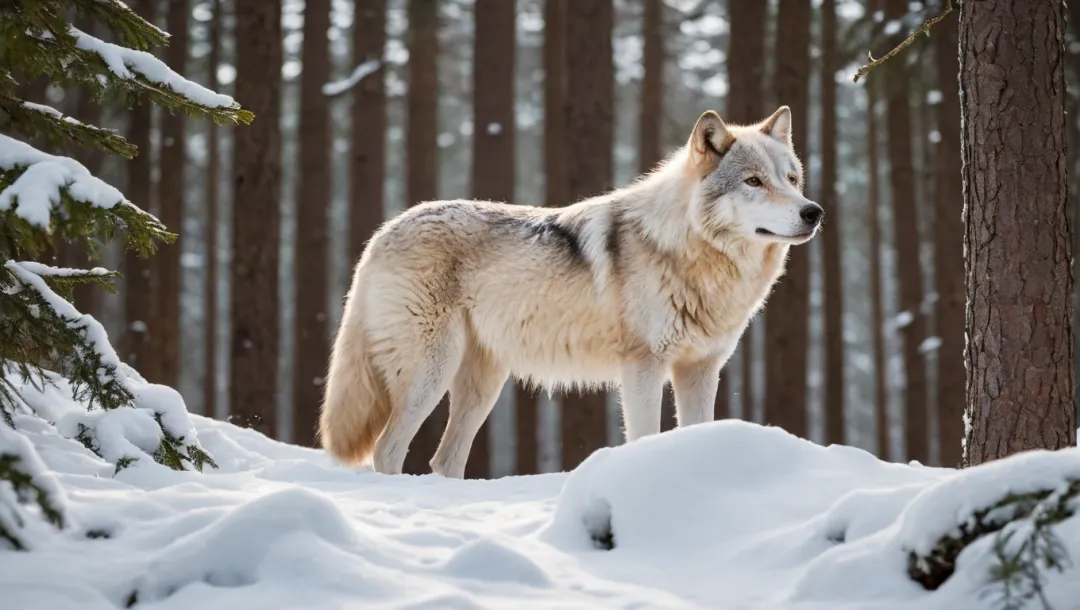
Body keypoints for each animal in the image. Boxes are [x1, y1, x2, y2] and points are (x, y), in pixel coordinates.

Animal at [315, 105, 820, 475]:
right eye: (754, 181)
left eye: (792, 179)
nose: (813, 211)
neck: (689, 251)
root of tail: (384, 231)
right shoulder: (643, 368)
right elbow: (645, 436)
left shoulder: (700, 369)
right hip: (431, 373)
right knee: (387, 449)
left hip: (481, 385)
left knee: (444, 459)